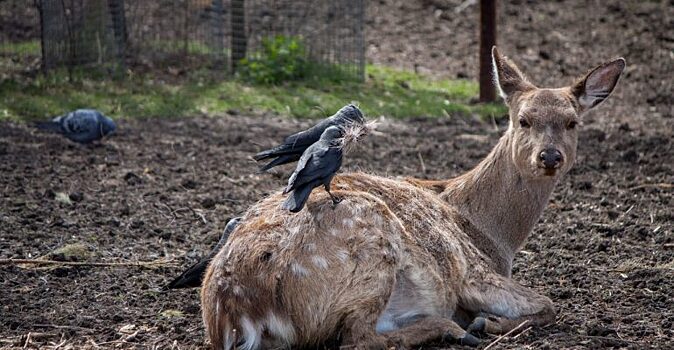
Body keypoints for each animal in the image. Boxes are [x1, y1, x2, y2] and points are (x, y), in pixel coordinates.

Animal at [201, 48, 624, 350]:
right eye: (523, 120)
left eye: (572, 122)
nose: (549, 157)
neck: (490, 234)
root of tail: (233, 312)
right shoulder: (473, 273)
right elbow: (548, 304)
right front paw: (489, 322)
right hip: (370, 245)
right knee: (358, 339)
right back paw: (453, 328)